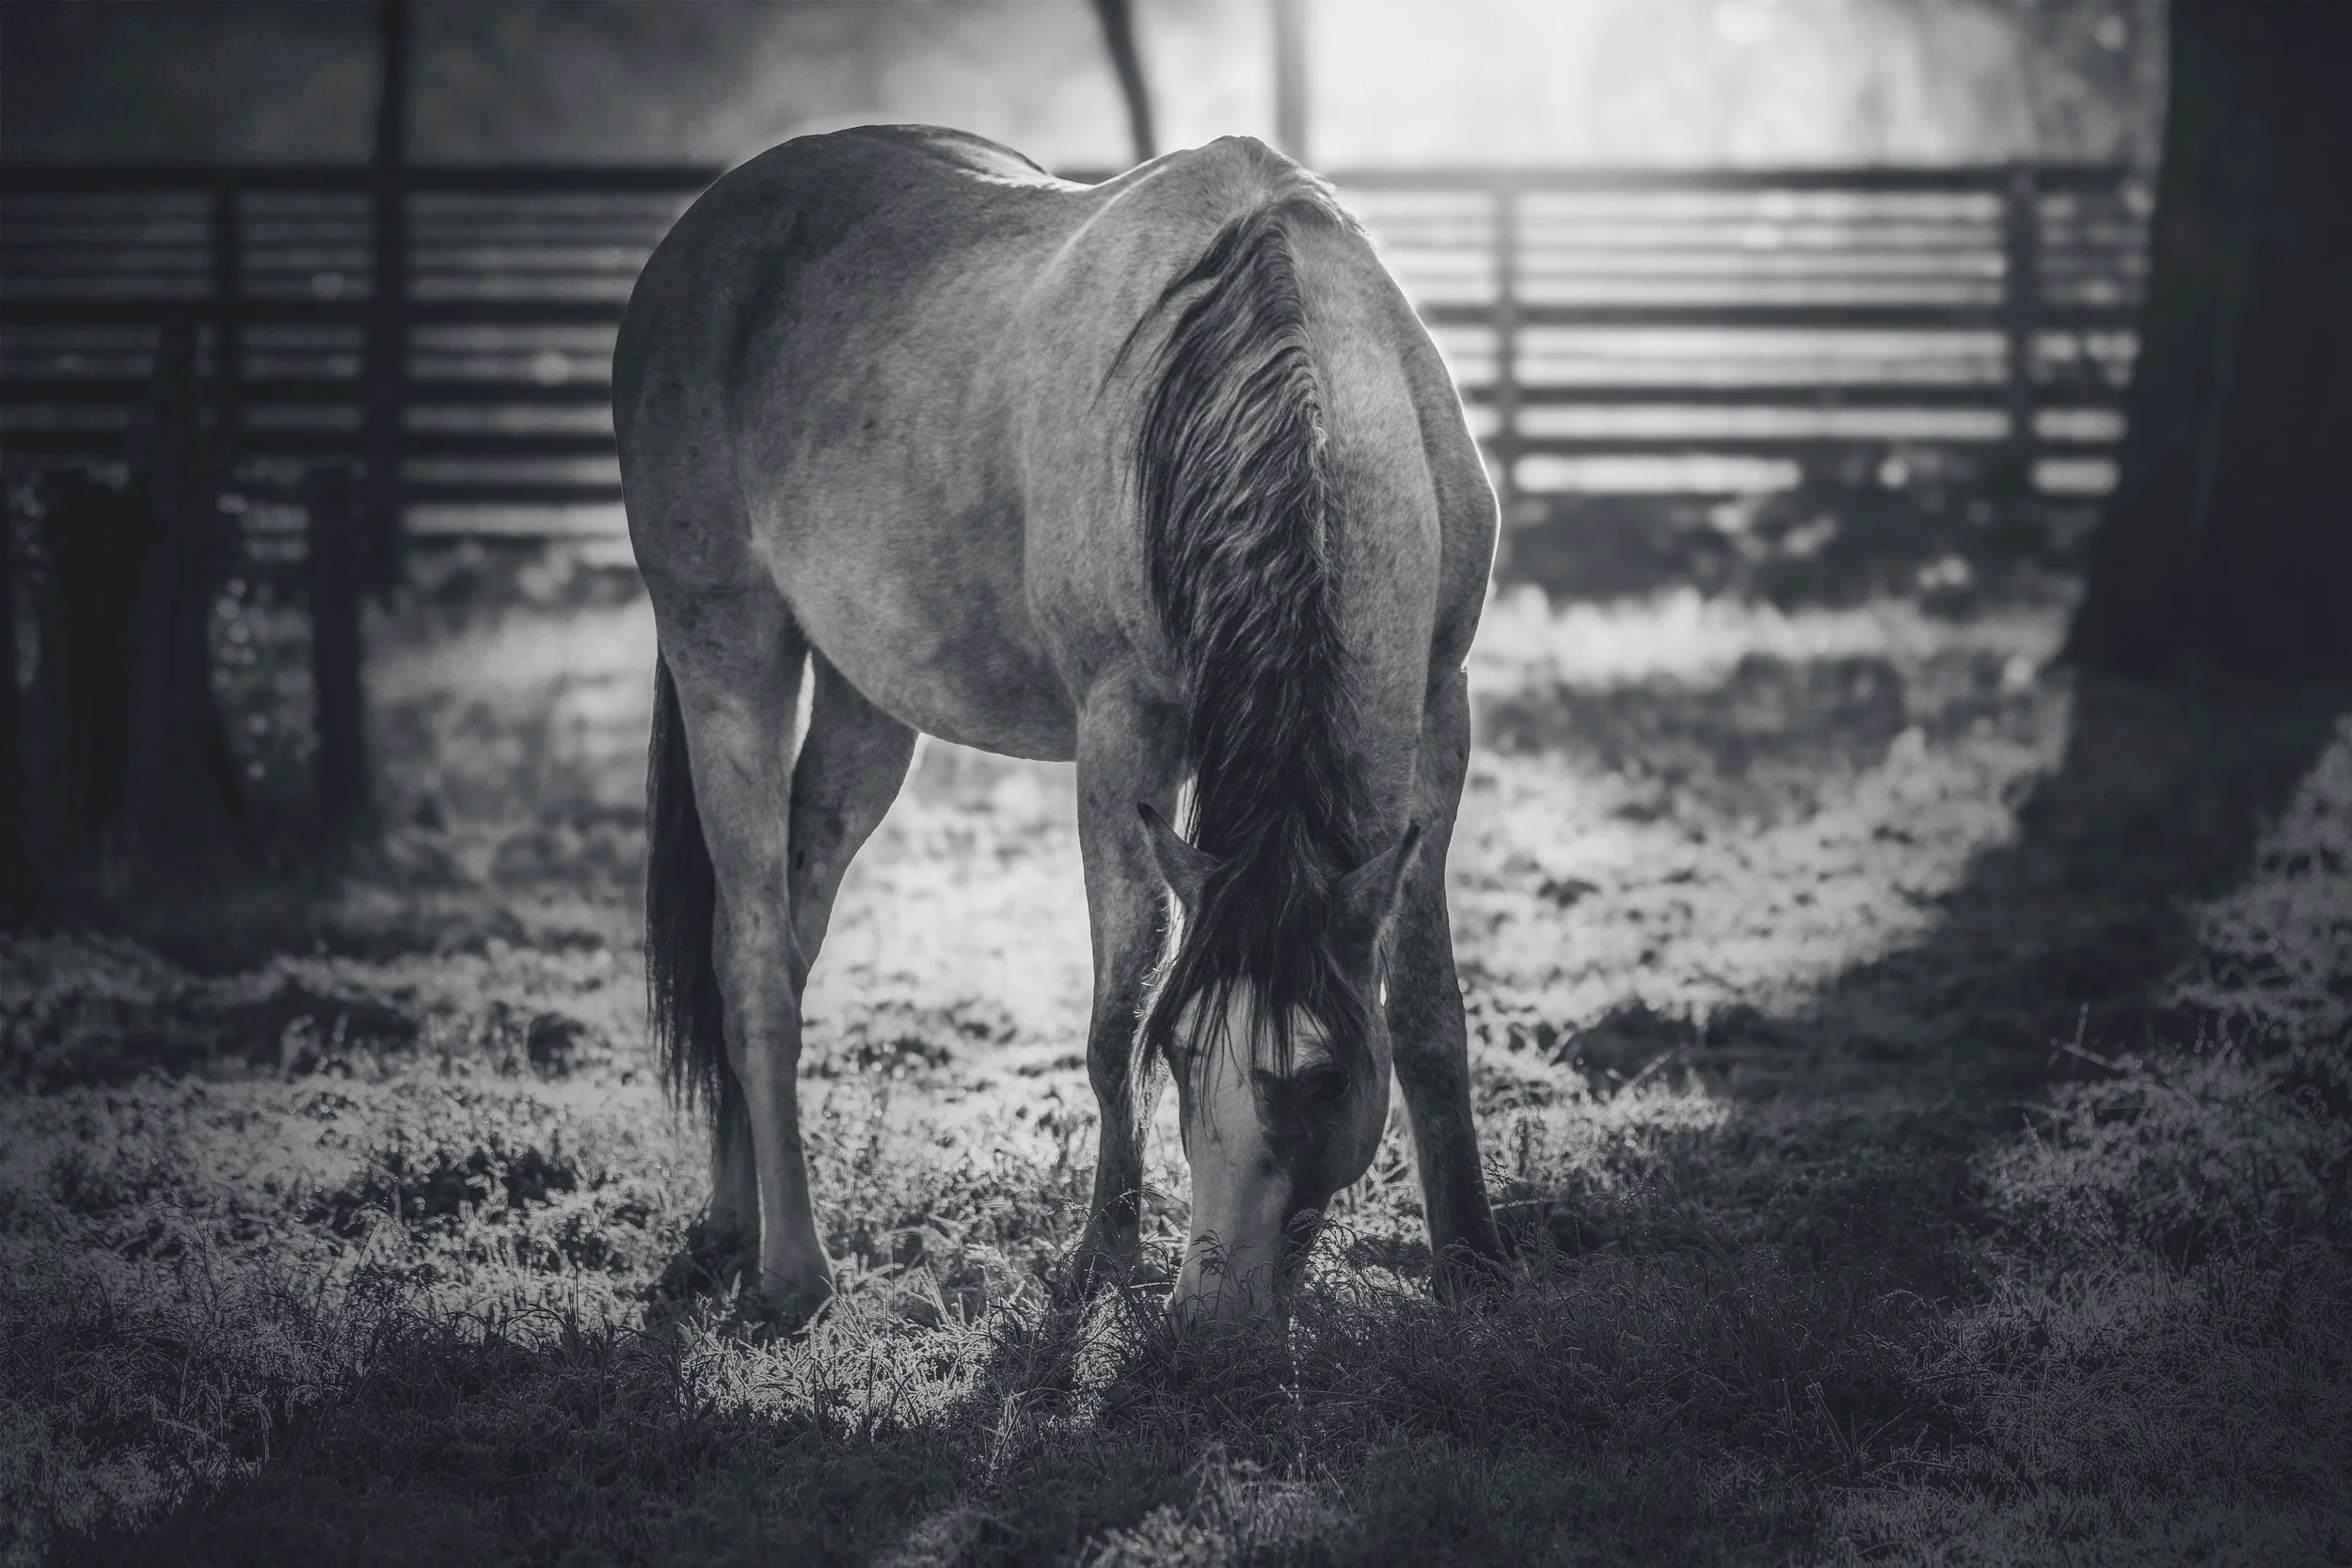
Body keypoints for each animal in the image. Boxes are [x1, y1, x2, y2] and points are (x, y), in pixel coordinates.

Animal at [616, 124, 1504, 1323]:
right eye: (1184, 1054)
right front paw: (1100, 1262)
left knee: (767, 943)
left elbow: (1423, 1010)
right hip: (727, 655)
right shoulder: (1121, 737)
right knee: (752, 957)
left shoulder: (1437, 713)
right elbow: (1112, 1009)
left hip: (865, 708)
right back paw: (790, 1273)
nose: (1208, 1322)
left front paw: (1473, 1259)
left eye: (1319, 1078)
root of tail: (696, 233)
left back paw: (725, 1228)